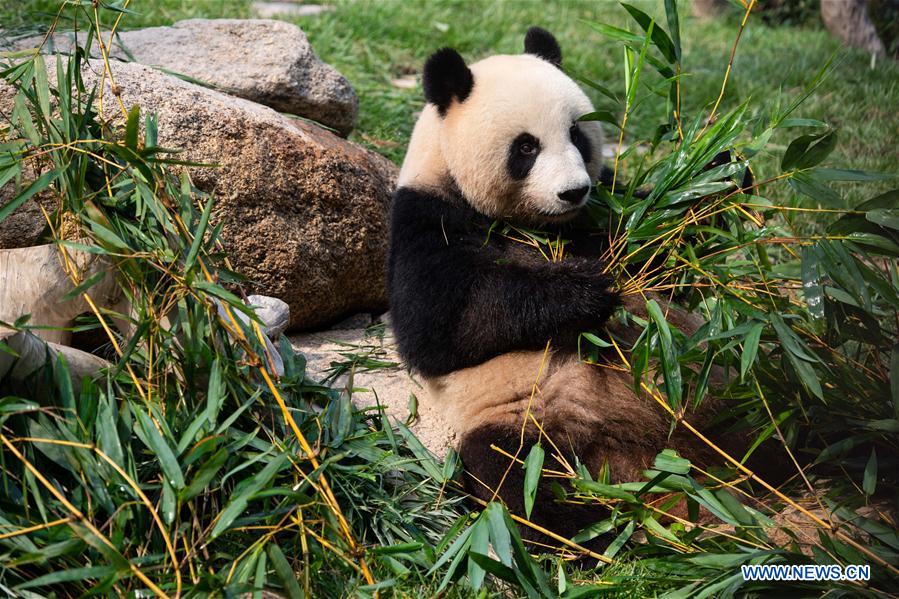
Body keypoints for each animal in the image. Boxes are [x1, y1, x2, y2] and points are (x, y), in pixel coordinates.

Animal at [390, 27, 776, 544]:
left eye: (577, 134)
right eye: (526, 148)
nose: (573, 191)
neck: (541, 227)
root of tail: (645, 463)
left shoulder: (606, 210)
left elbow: (662, 234)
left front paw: (720, 173)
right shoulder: (426, 220)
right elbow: (441, 325)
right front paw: (585, 290)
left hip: (721, 381)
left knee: (771, 406)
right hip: (525, 421)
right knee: (515, 476)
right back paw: (591, 529)